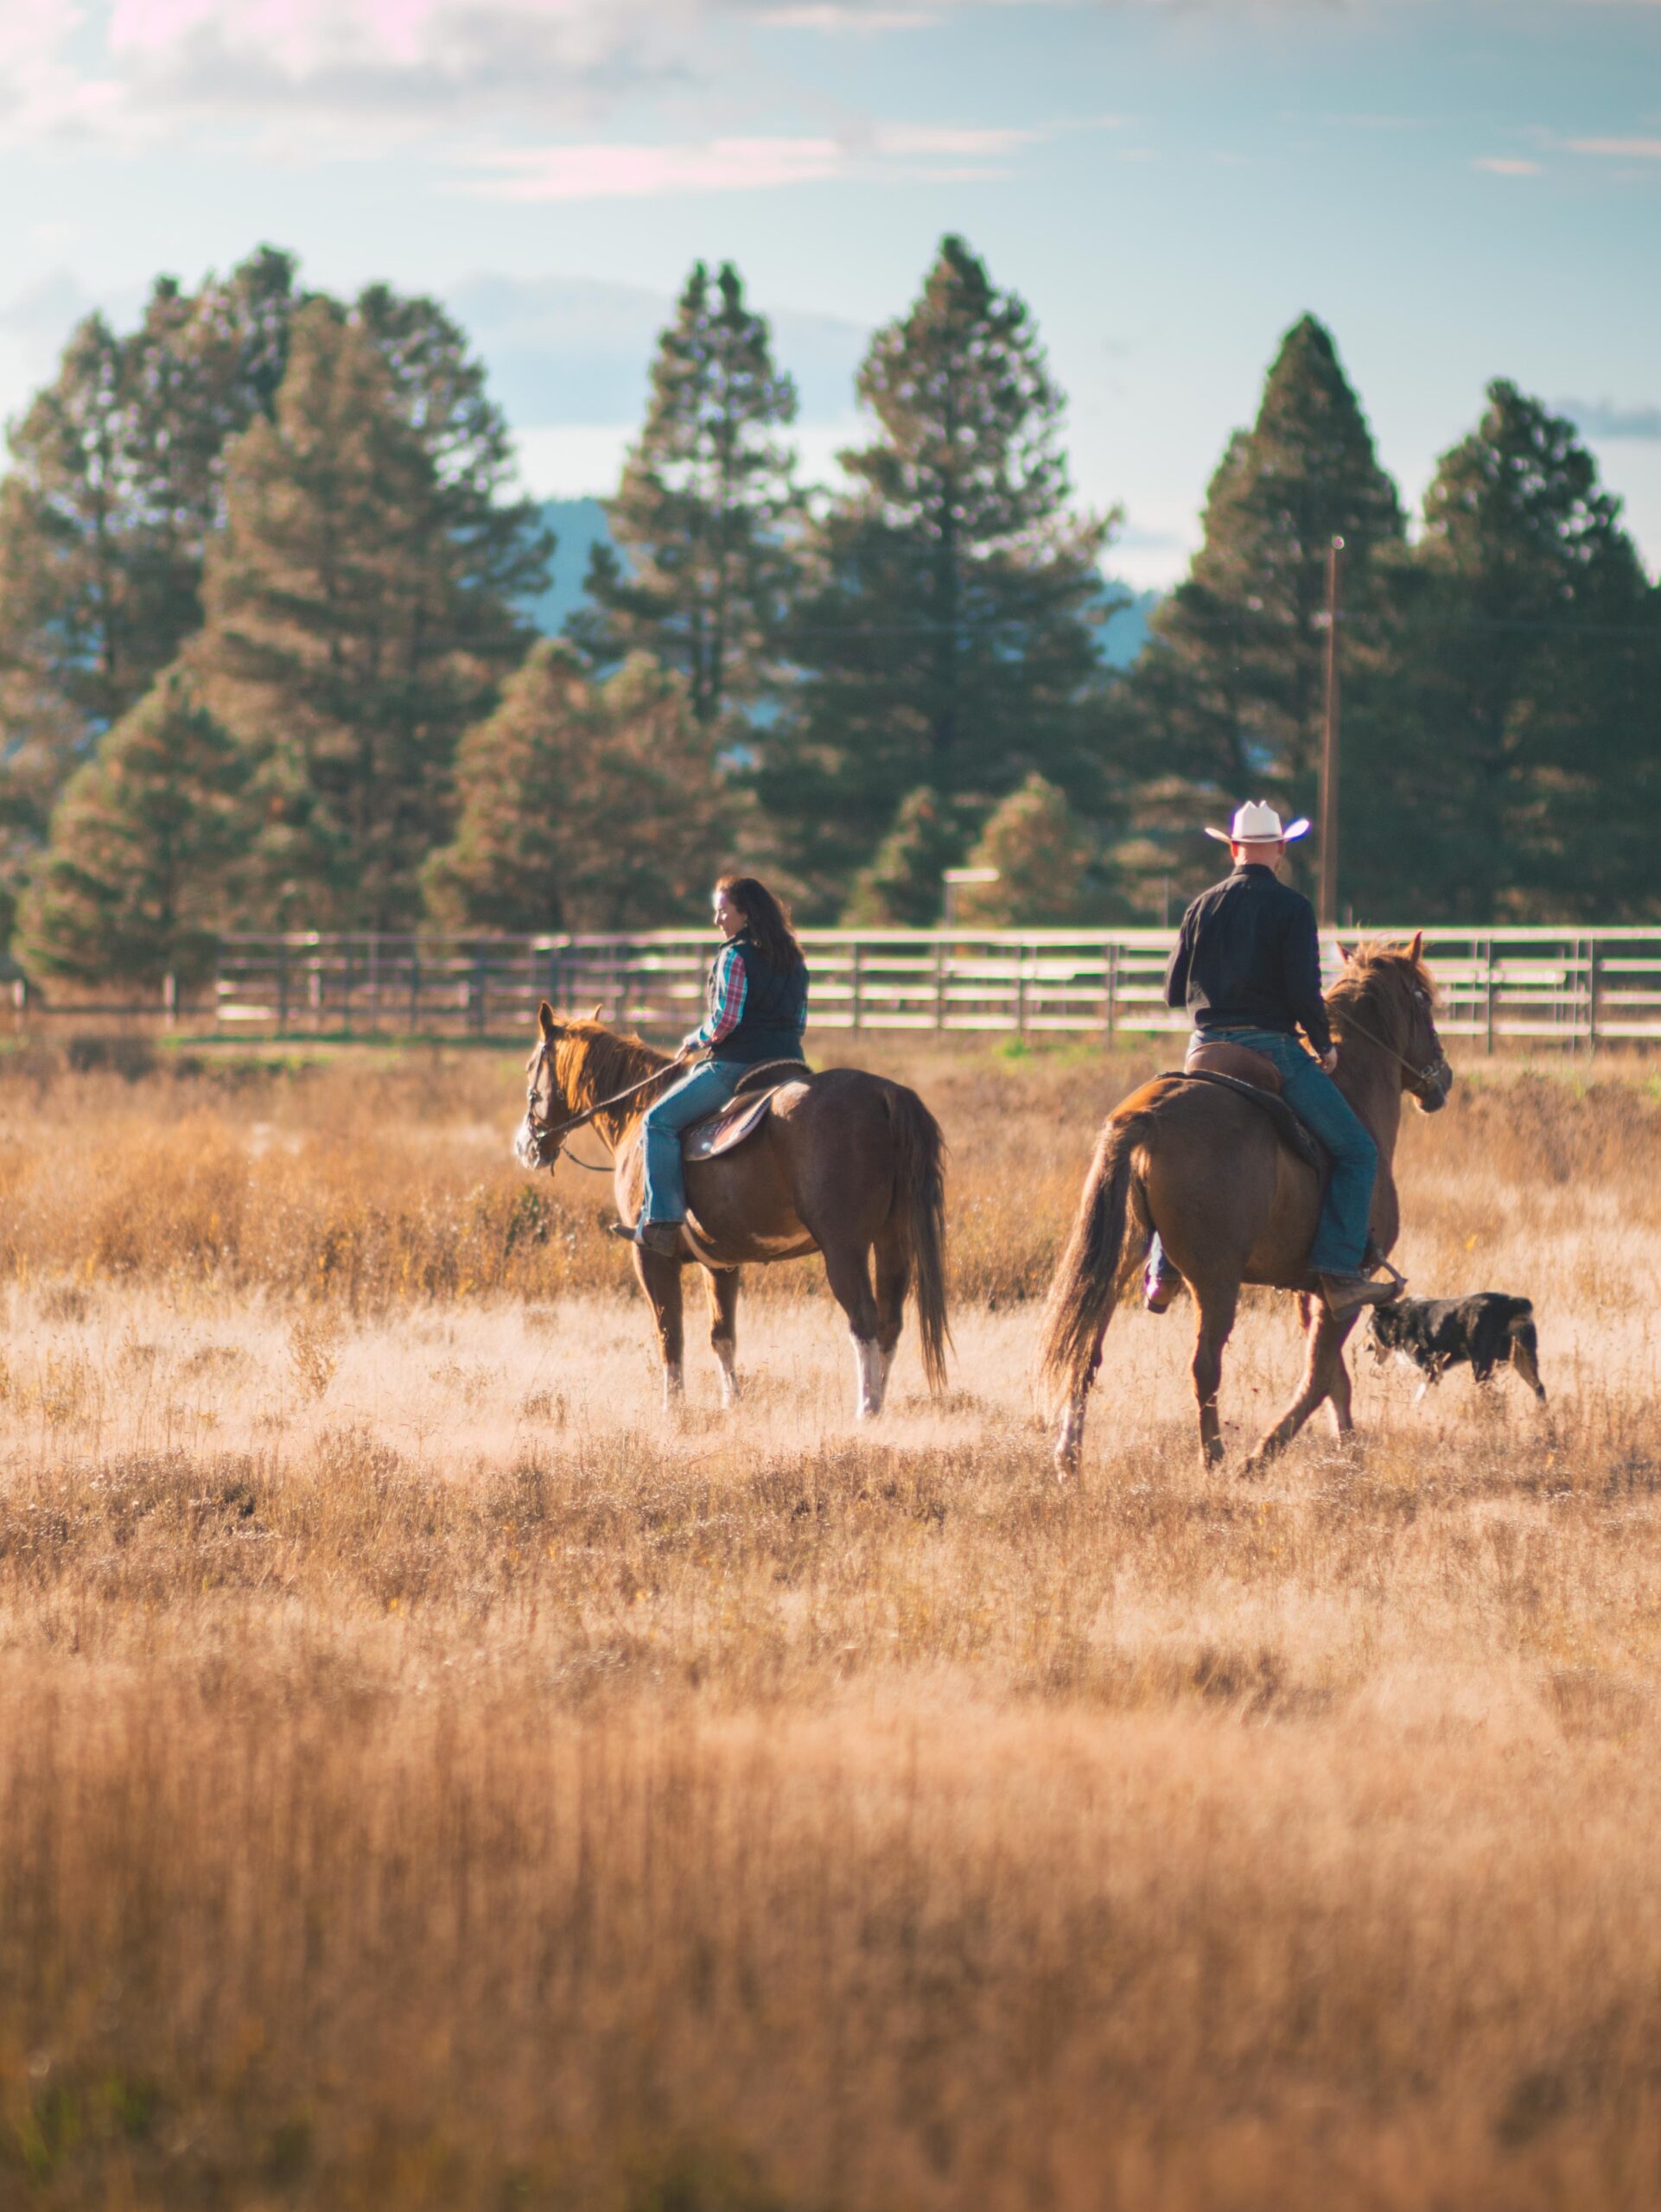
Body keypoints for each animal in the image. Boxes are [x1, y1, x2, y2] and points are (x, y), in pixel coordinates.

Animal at [512, 1008, 946, 1415]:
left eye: (533, 1067)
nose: (525, 1145)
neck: (639, 1114)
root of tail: (885, 1094)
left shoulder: (650, 1256)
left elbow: (669, 1333)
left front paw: (673, 1409)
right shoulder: (720, 1264)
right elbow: (722, 1335)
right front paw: (731, 1404)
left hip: (844, 1248)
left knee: (864, 1320)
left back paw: (867, 1409)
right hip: (894, 1243)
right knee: (890, 1322)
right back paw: (880, 1404)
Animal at [1043, 938, 1450, 1478]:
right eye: (1423, 1001)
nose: (1443, 1077)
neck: (1355, 1098)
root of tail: (1148, 1116)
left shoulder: (1309, 1289)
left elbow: (1333, 1379)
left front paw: (1347, 1450)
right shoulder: (1346, 1288)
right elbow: (1319, 1376)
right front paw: (1263, 1456)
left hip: (1118, 1261)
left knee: (1086, 1350)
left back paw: (1069, 1455)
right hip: (1217, 1279)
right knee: (1205, 1365)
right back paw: (1215, 1457)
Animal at [1371, 1292, 1556, 1397]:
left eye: (1369, 1328)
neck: (1399, 1317)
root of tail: (1513, 1303)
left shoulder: (1430, 1370)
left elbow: (1419, 1398)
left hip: (1482, 1369)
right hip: (1525, 1362)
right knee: (1540, 1389)